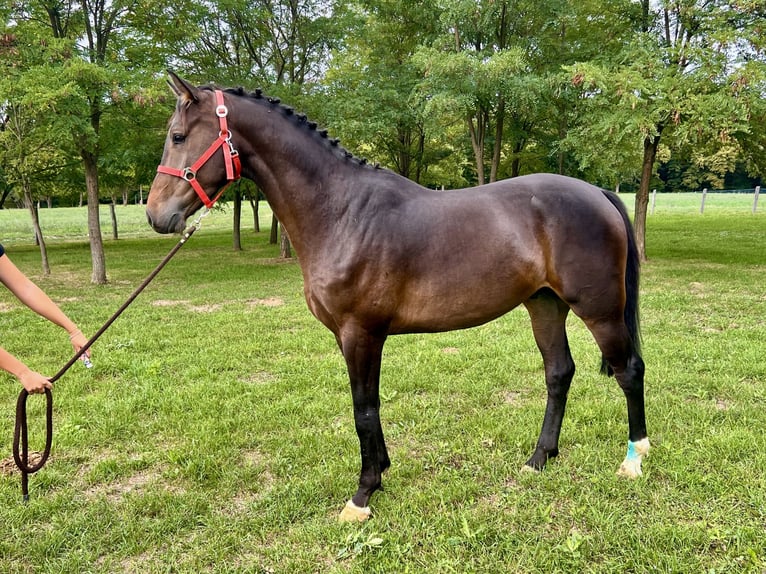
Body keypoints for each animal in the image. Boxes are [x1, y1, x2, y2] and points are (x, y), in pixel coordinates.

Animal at [146, 72, 649, 522]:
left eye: (178, 136)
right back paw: (539, 458)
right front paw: (381, 471)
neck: (341, 211)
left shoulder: (361, 333)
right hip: (544, 305)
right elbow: (368, 406)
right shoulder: (350, 336)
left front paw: (363, 495)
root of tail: (598, 193)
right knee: (558, 373)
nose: (155, 215)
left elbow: (363, 410)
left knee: (629, 370)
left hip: (599, 311)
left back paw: (634, 458)